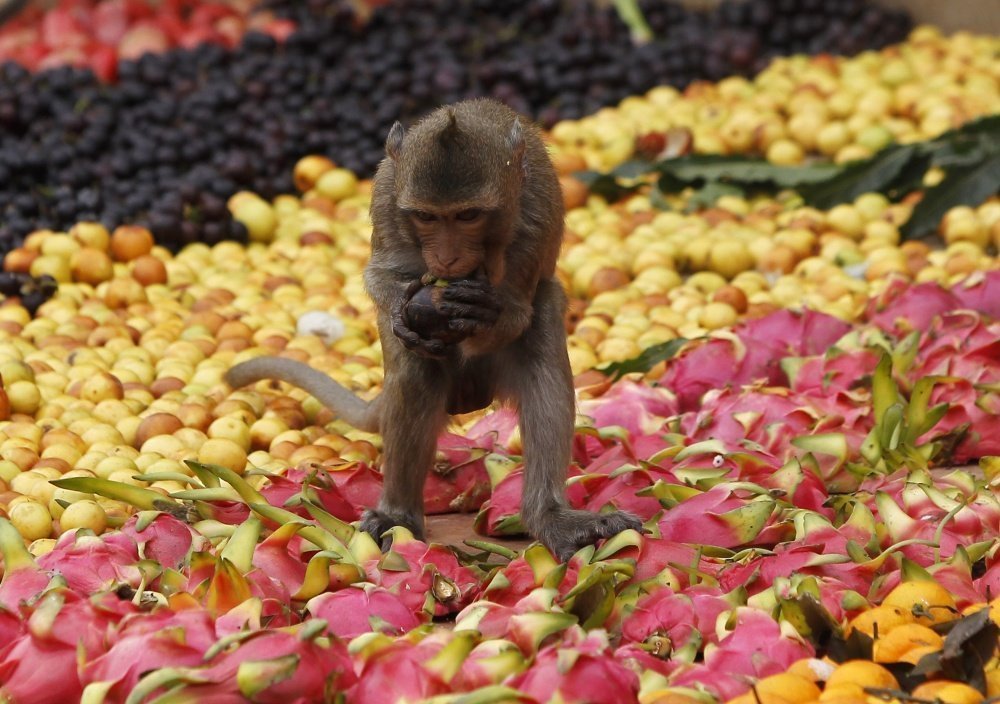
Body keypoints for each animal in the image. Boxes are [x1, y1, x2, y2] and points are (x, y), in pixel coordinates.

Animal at [227, 99, 640, 560]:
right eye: (426, 216)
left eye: (468, 215)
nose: (446, 258)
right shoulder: (386, 198)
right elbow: (381, 275)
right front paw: (401, 311)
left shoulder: (536, 212)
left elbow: (516, 313)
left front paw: (483, 309)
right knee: (414, 371)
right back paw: (398, 514)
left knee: (544, 340)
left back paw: (549, 517)